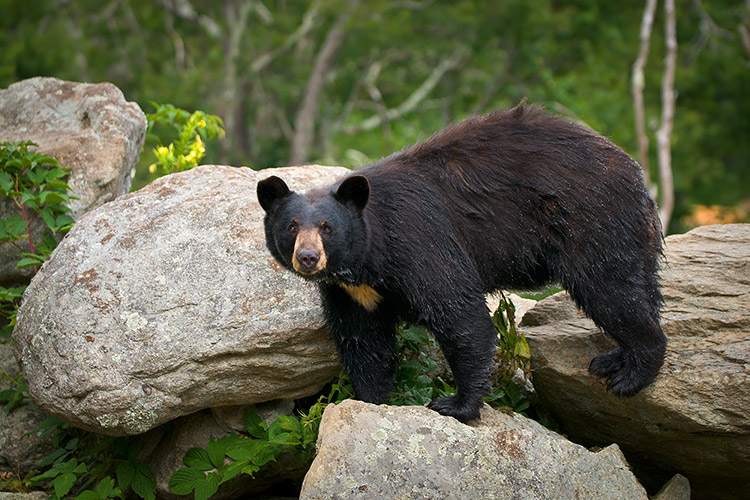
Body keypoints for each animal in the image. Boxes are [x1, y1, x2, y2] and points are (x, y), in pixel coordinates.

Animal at [257, 103, 667, 423]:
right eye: (292, 226)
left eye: (327, 227)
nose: (308, 258)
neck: (368, 259)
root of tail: (635, 172)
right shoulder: (351, 292)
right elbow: (364, 342)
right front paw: (370, 400)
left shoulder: (419, 242)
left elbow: (460, 316)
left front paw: (456, 404)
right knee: (639, 287)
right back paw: (614, 359)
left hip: (592, 221)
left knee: (610, 291)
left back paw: (632, 374)